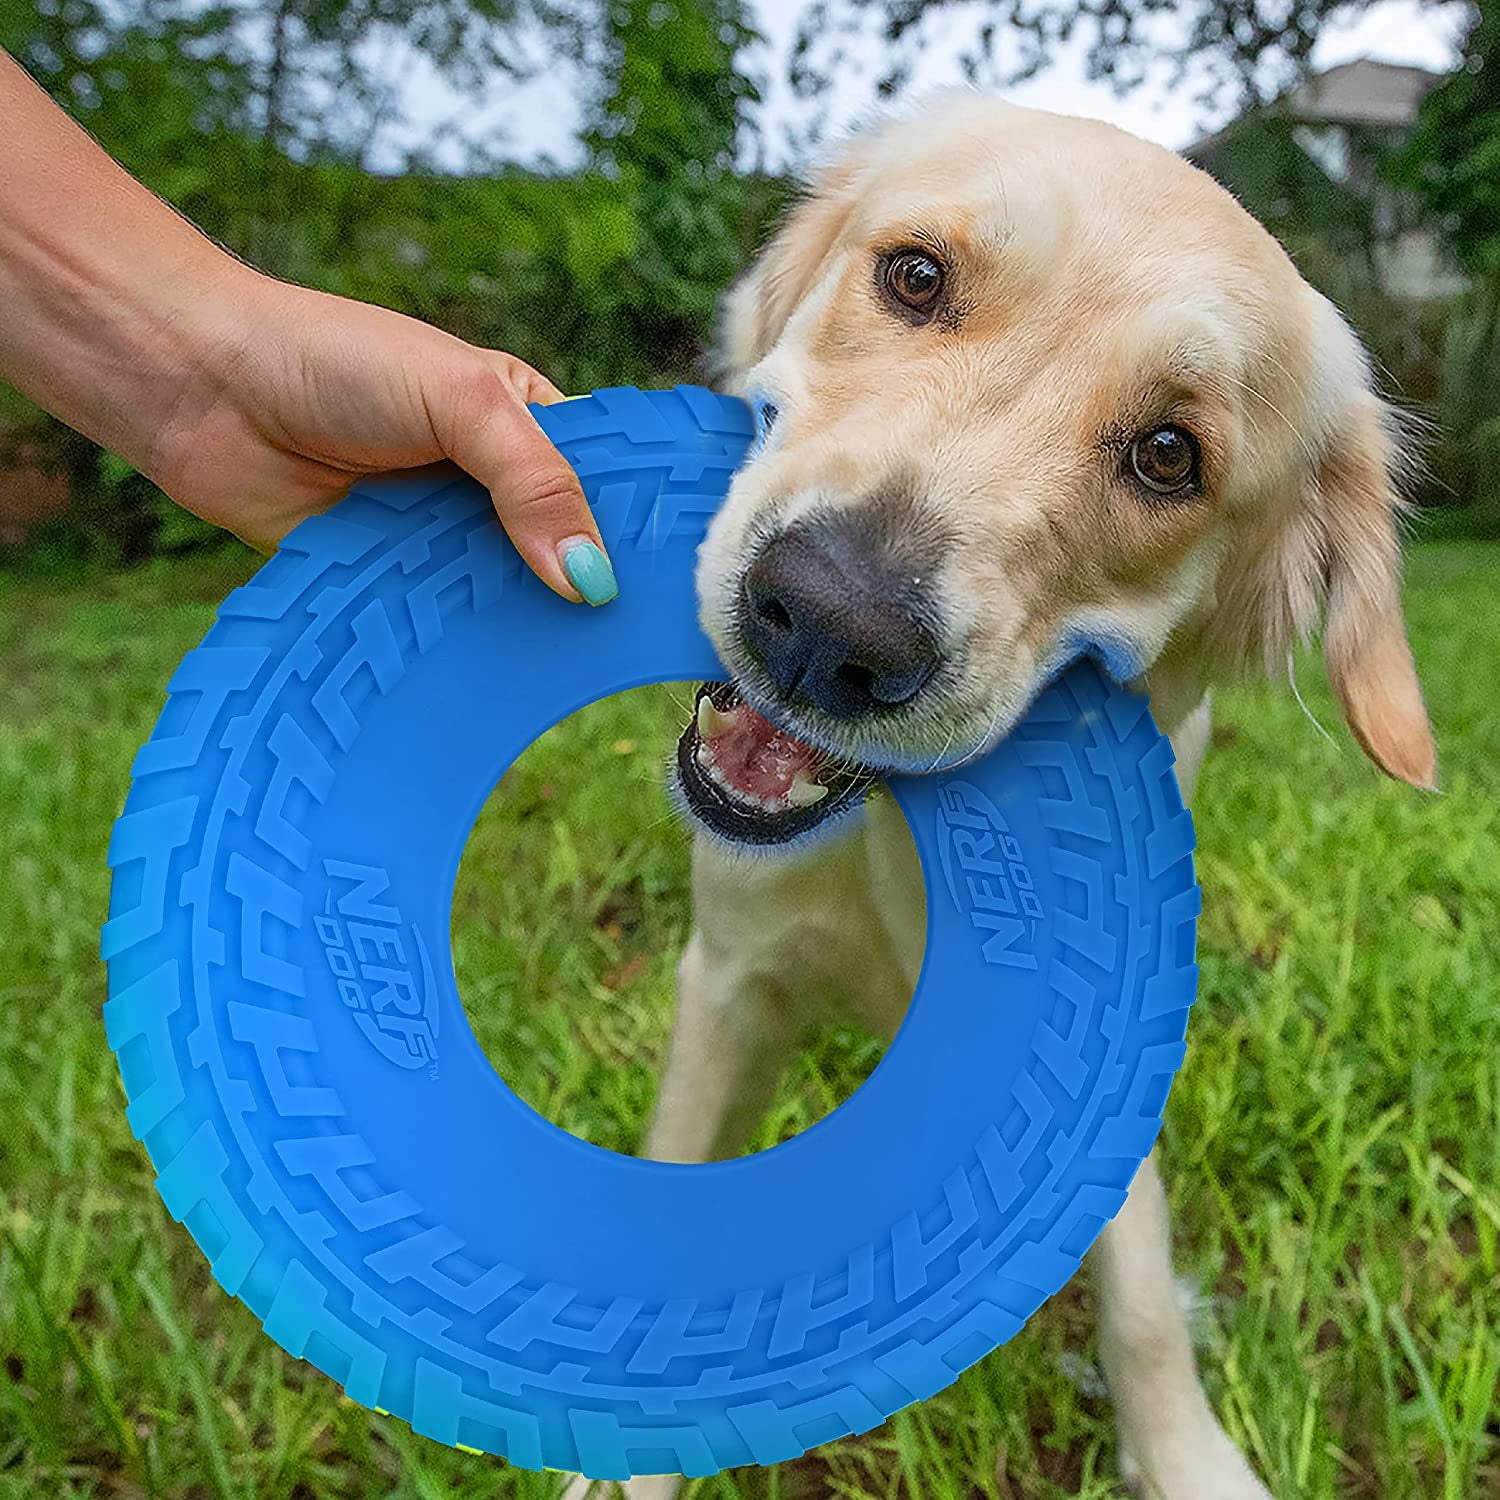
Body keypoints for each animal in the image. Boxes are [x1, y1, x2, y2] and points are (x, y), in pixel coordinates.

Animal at [567, 93, 1434, 1500]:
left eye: (1170, 455)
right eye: (916, 277)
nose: (828, 625)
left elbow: (1141, 1297)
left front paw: (1184, 1454)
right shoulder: (730, 981)